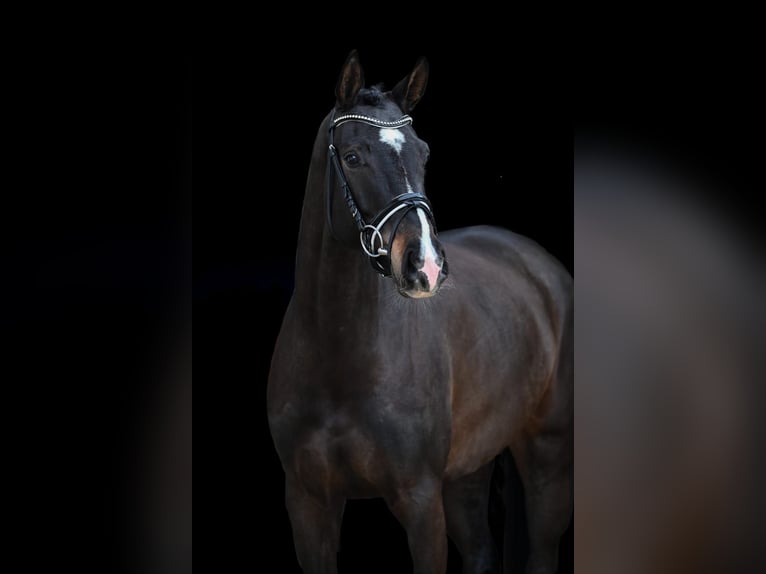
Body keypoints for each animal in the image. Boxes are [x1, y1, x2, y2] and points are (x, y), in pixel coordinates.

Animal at [267, 50, 573, 574]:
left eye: (423, 154)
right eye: (353, 157)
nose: (426, 265)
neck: (338, 355)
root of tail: (542, 265)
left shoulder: (420, 501)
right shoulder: (307, 504)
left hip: (547, 455)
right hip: (469, 469)